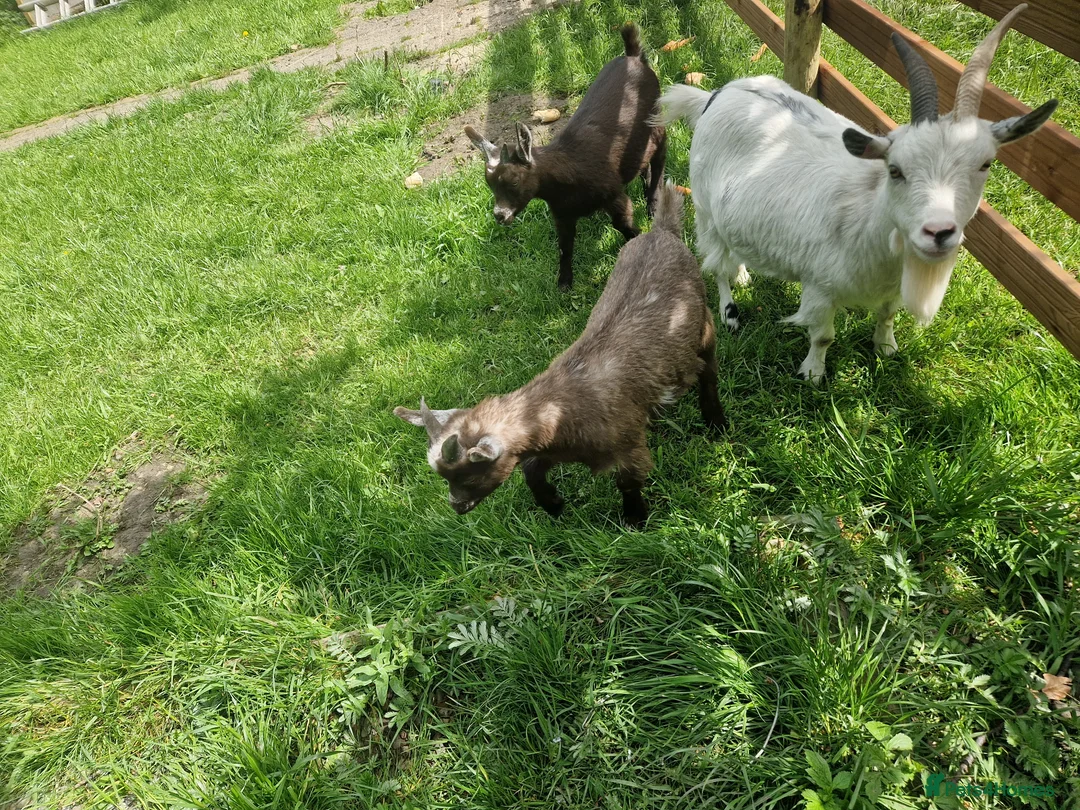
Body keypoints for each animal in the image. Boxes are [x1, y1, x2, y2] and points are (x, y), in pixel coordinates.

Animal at [394, 184, 725, 527]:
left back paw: (716, 421)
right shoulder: (550, 450)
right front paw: (553, 504)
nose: (458, 507)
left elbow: (629, 482)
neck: (559, 406)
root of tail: (662, 231)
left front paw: (635, 520)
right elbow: (530, 469)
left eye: (471, 476)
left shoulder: (627, 444)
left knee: (708, 370)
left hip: (703, 327)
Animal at [464, 23, 667, 290]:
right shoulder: (562, 214)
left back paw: (653, 202)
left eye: (515, 181)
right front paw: (564, 284)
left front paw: (641, 242)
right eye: (489, 185)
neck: (568, 172)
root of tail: (634, 56)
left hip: (657, 121)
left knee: (660, 156)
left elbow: (622, 223)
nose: (500, 215)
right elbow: (564, 246)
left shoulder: (613, 194)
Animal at [656, 4, 1056, 383]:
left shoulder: (892, 287)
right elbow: (823, 336)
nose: (939, 232)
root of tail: (717, 94)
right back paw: (730, 312)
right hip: (705, 207)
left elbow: (888, 314)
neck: (870, 218)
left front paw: (886, 347)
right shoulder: (820, 286)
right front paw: (812, 374)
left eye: (985, 164)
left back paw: (742, 274)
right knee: (716, 263)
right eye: (895, 170)